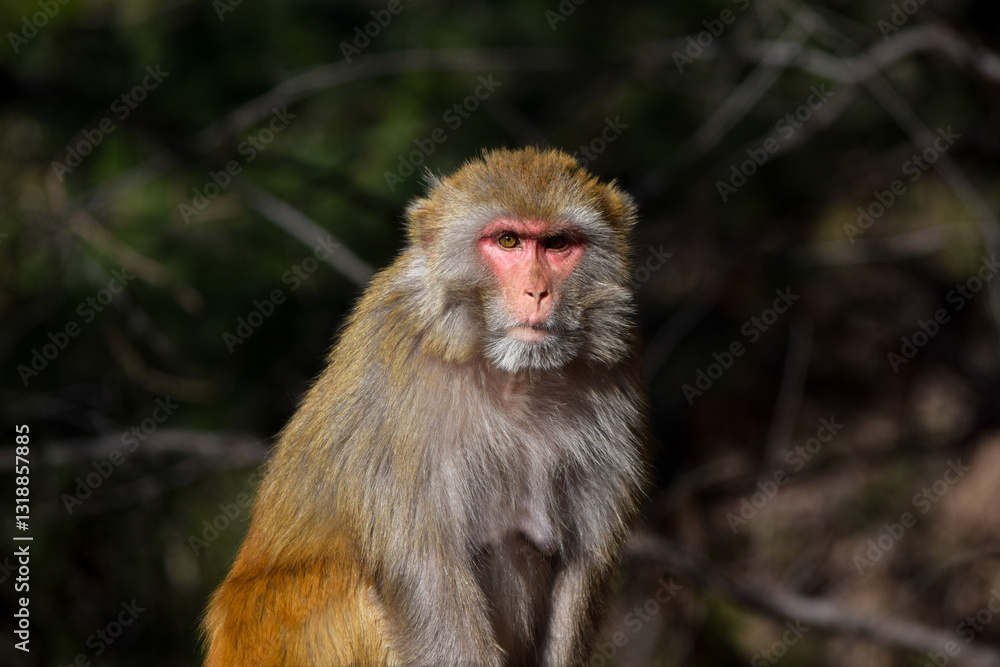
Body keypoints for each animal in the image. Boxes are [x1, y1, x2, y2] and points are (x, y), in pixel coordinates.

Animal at [203, 146, 650, 667]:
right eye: (509, 241)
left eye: (558, 244)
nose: (538, 292)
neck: (513, 374)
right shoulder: (401, 385)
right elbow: (429, 571)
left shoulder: (615, 371)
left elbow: (579, 566)